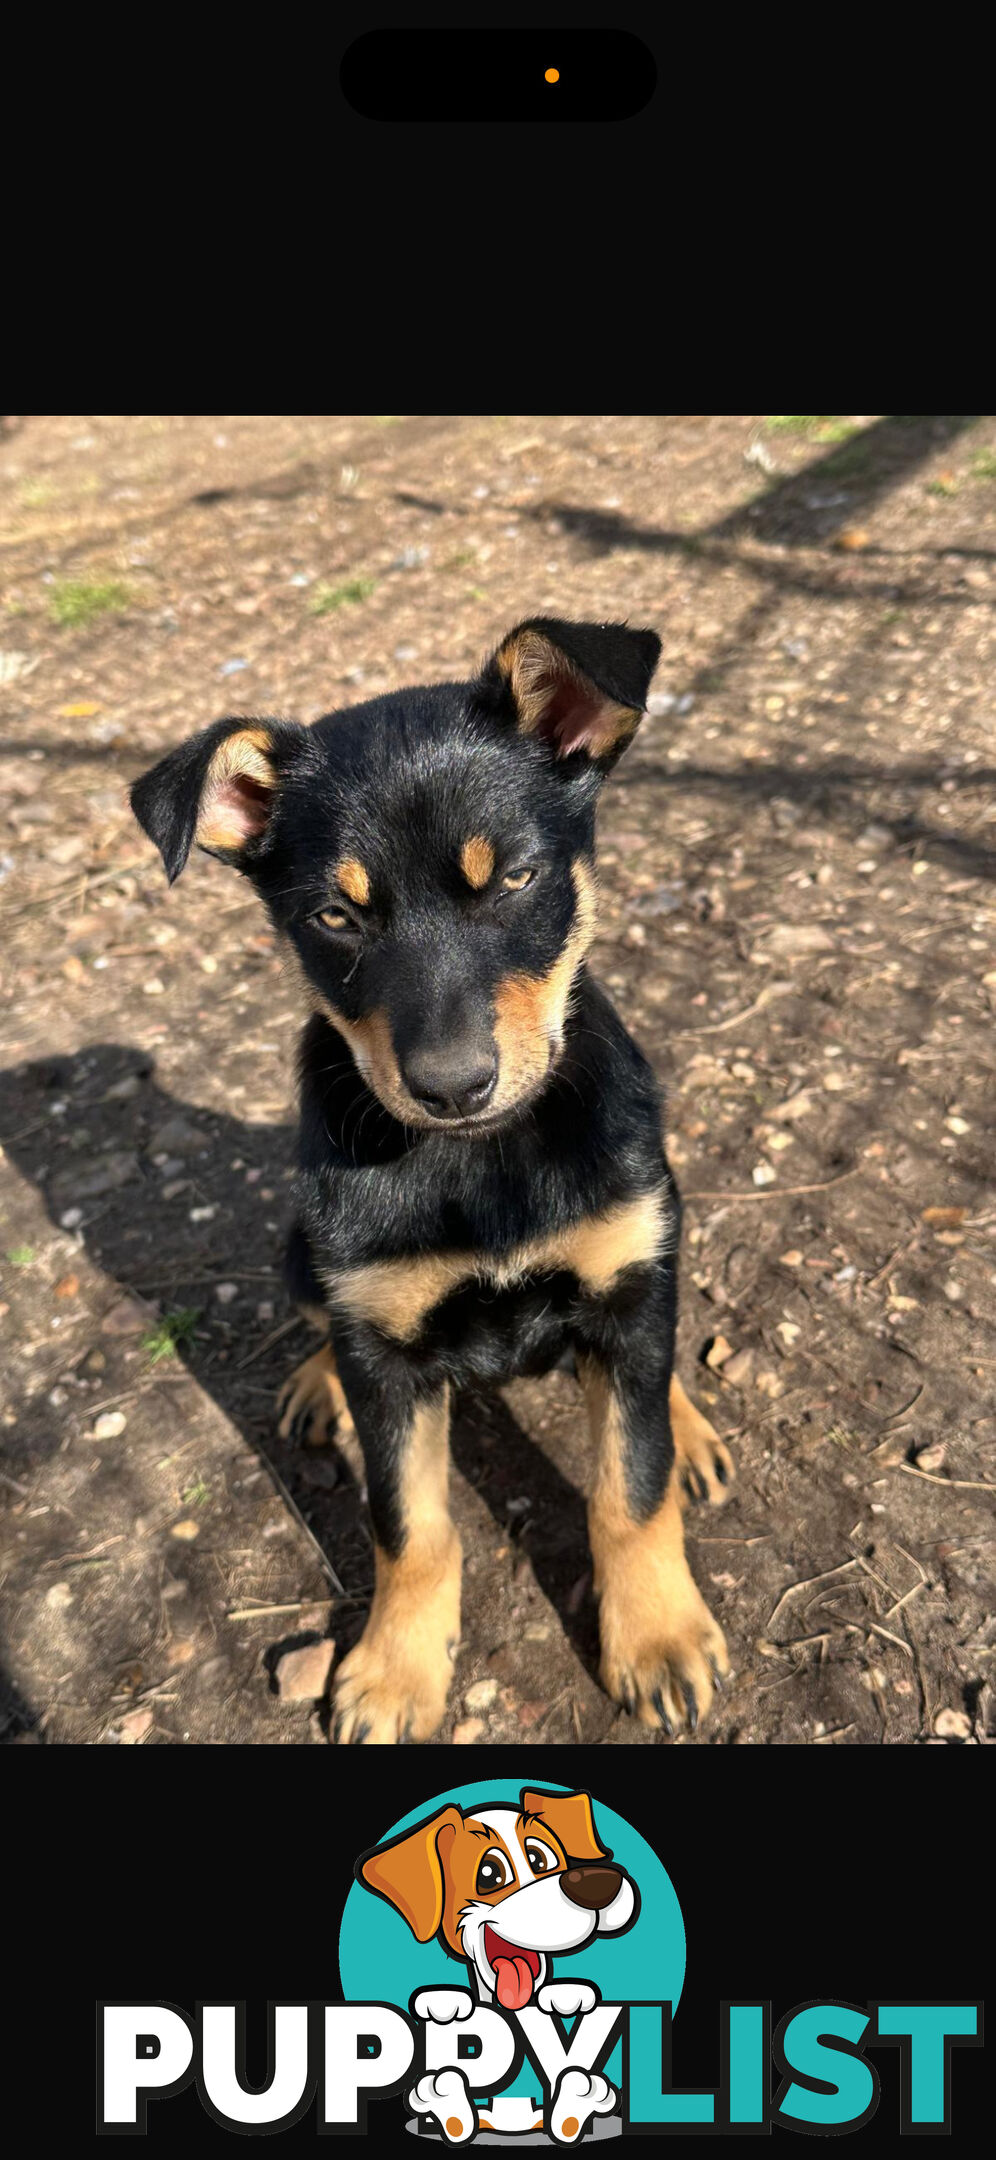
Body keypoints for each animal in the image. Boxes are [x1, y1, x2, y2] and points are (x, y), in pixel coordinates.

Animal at [131, 617, 730, 1745]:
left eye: (516, 880)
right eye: (335, 917)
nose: (453, 1086)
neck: (481, 1161)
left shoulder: (625, 1273)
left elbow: (629, 1491)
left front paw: (658, 1637)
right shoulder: (387, 1347)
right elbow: (410, 1526)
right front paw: (395, 1672)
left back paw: (684, 1423)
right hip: (303, 1253)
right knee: (323, 1324)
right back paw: (316, 1382)